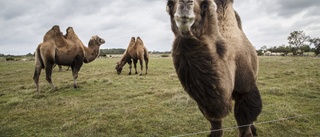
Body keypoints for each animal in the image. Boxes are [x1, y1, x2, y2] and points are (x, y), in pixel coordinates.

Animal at [166, 0, 262, 136]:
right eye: (169, 4)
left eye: (205, 5)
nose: (184, 4)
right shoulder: (205, 104)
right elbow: (216, 126)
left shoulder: (246, 91)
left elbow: (245, 125)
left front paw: (250, 131)